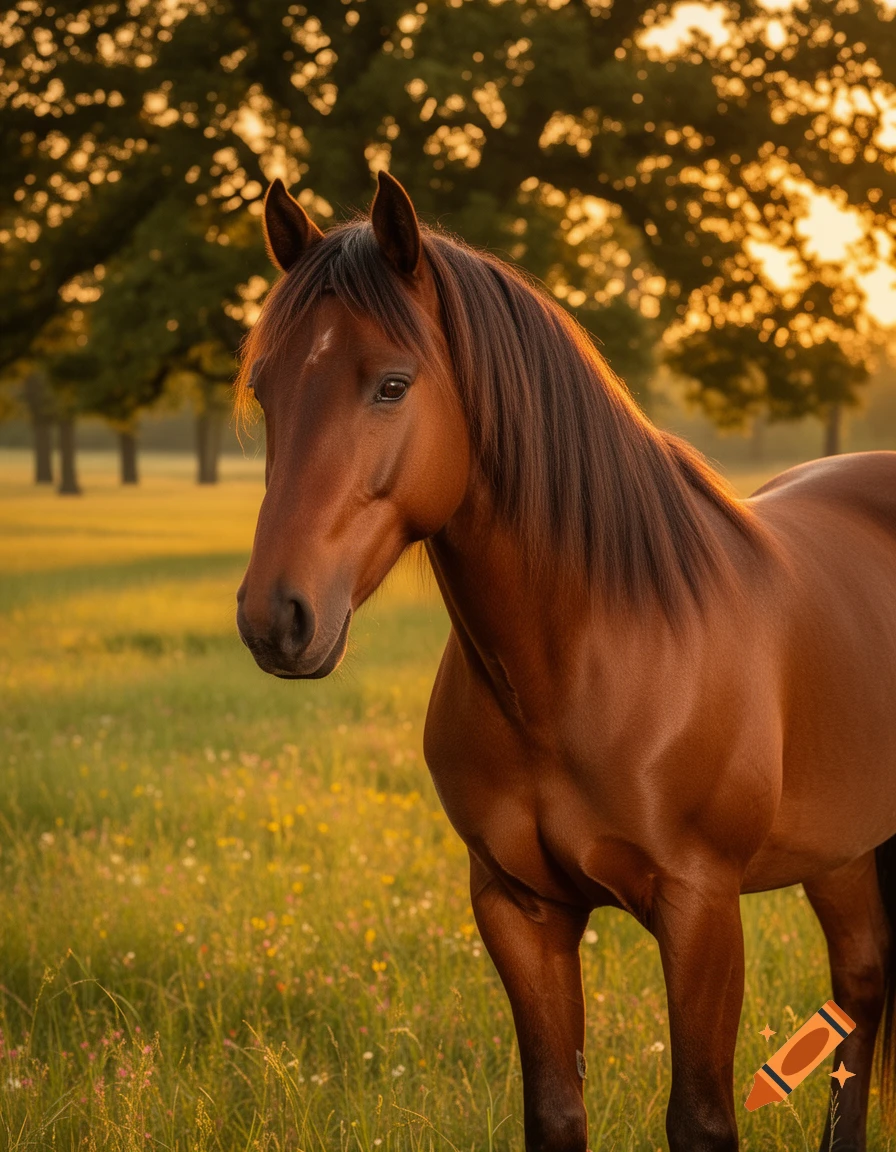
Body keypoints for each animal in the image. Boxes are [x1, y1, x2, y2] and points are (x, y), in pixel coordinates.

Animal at [235, 170, 896, 1152]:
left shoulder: (701, 909)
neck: (588, 660)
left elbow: (700, 1119)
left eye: (391, 384)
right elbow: (553, 1111)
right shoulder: (519, 908)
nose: (274, 618)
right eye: (266, 388)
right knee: (860, 983)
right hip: (841, 848)